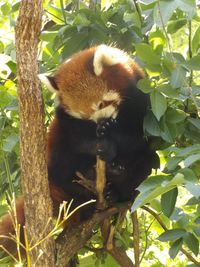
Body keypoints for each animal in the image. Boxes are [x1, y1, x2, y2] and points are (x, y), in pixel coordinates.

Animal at [0, 45, 159, 254]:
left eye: (101, 103)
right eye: (85, 115)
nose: (101, 122)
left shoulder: (142, 103)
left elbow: (141, 140)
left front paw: (113, 138)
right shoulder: (67, 120)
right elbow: (77, 140)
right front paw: (104, 146)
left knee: (146, 161)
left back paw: (115, 191)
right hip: (56, 164)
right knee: (62, 164)